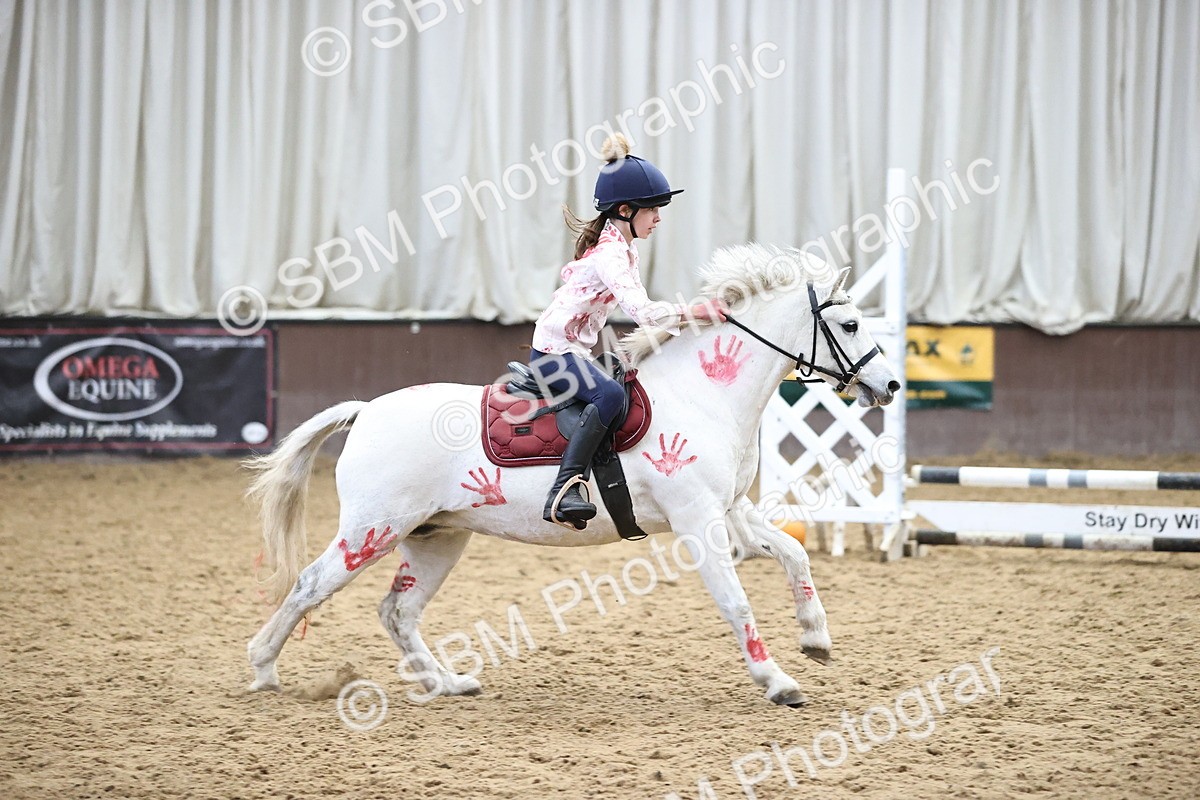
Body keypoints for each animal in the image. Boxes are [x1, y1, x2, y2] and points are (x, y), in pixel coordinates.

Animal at [246, 244, 901, 707]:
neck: (703, 392)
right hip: (372, 530)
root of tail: (367, 409)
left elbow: (796, 555)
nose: (890, 385)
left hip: (436, 537)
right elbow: (736, 601)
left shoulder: (731, 512)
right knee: (309, 585)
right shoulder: (696, 520)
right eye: (848, 326)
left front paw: (815, 639)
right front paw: (777, 680)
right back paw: (262, 668)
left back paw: (447, 683)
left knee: (398, 612)